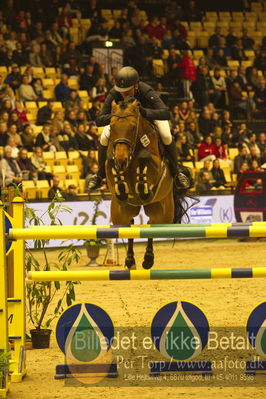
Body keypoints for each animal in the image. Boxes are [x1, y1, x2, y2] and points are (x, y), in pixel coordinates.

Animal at [105, 98, 190, 270]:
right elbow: (111, 163)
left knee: (152, 224)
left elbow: (146, 160)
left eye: (132, 127)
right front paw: (121, 187)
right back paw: (130, 261)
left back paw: (148, 260)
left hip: (163, 213)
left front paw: (143, 187)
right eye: (112, 126)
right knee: (130, 225)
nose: (121, 160)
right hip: (120, 215)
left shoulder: (157, 165)